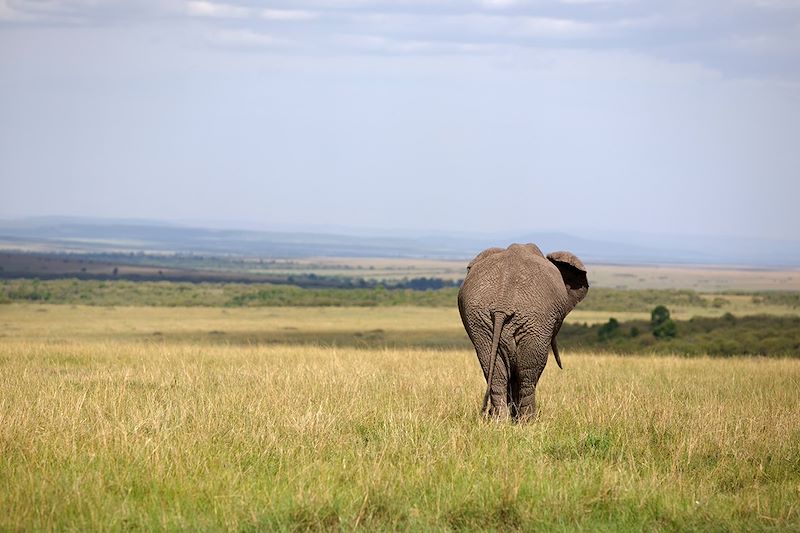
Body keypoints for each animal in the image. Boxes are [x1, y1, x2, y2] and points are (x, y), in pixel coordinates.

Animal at [456, 242, 588, 420]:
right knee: (529, 371)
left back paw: (500, 421)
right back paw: (529, 421)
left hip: (479, 319)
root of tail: (502, 304)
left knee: (494, 369)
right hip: (535, 320)